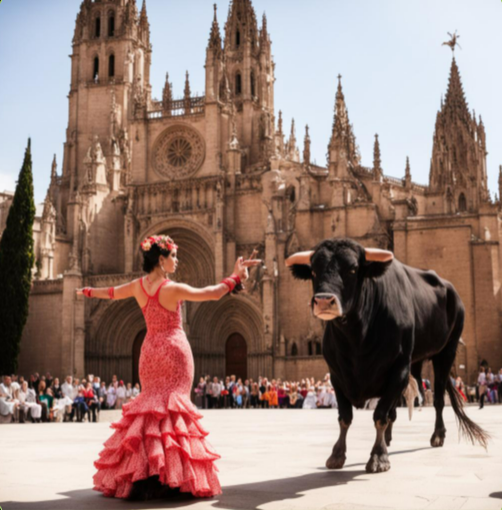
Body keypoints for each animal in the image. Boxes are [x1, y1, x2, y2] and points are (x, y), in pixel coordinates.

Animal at [288, 237, 488, 472]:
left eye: (353, 269)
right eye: (313, 270)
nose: (323, 301)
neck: (357, 337)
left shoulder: (399, 369)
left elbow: (380, 415)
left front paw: (378, 457)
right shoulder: (337, 376)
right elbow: (345, 416)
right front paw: (337, 454)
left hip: (446, 352)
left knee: (438, 398)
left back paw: (438, 435)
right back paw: (390, 438)